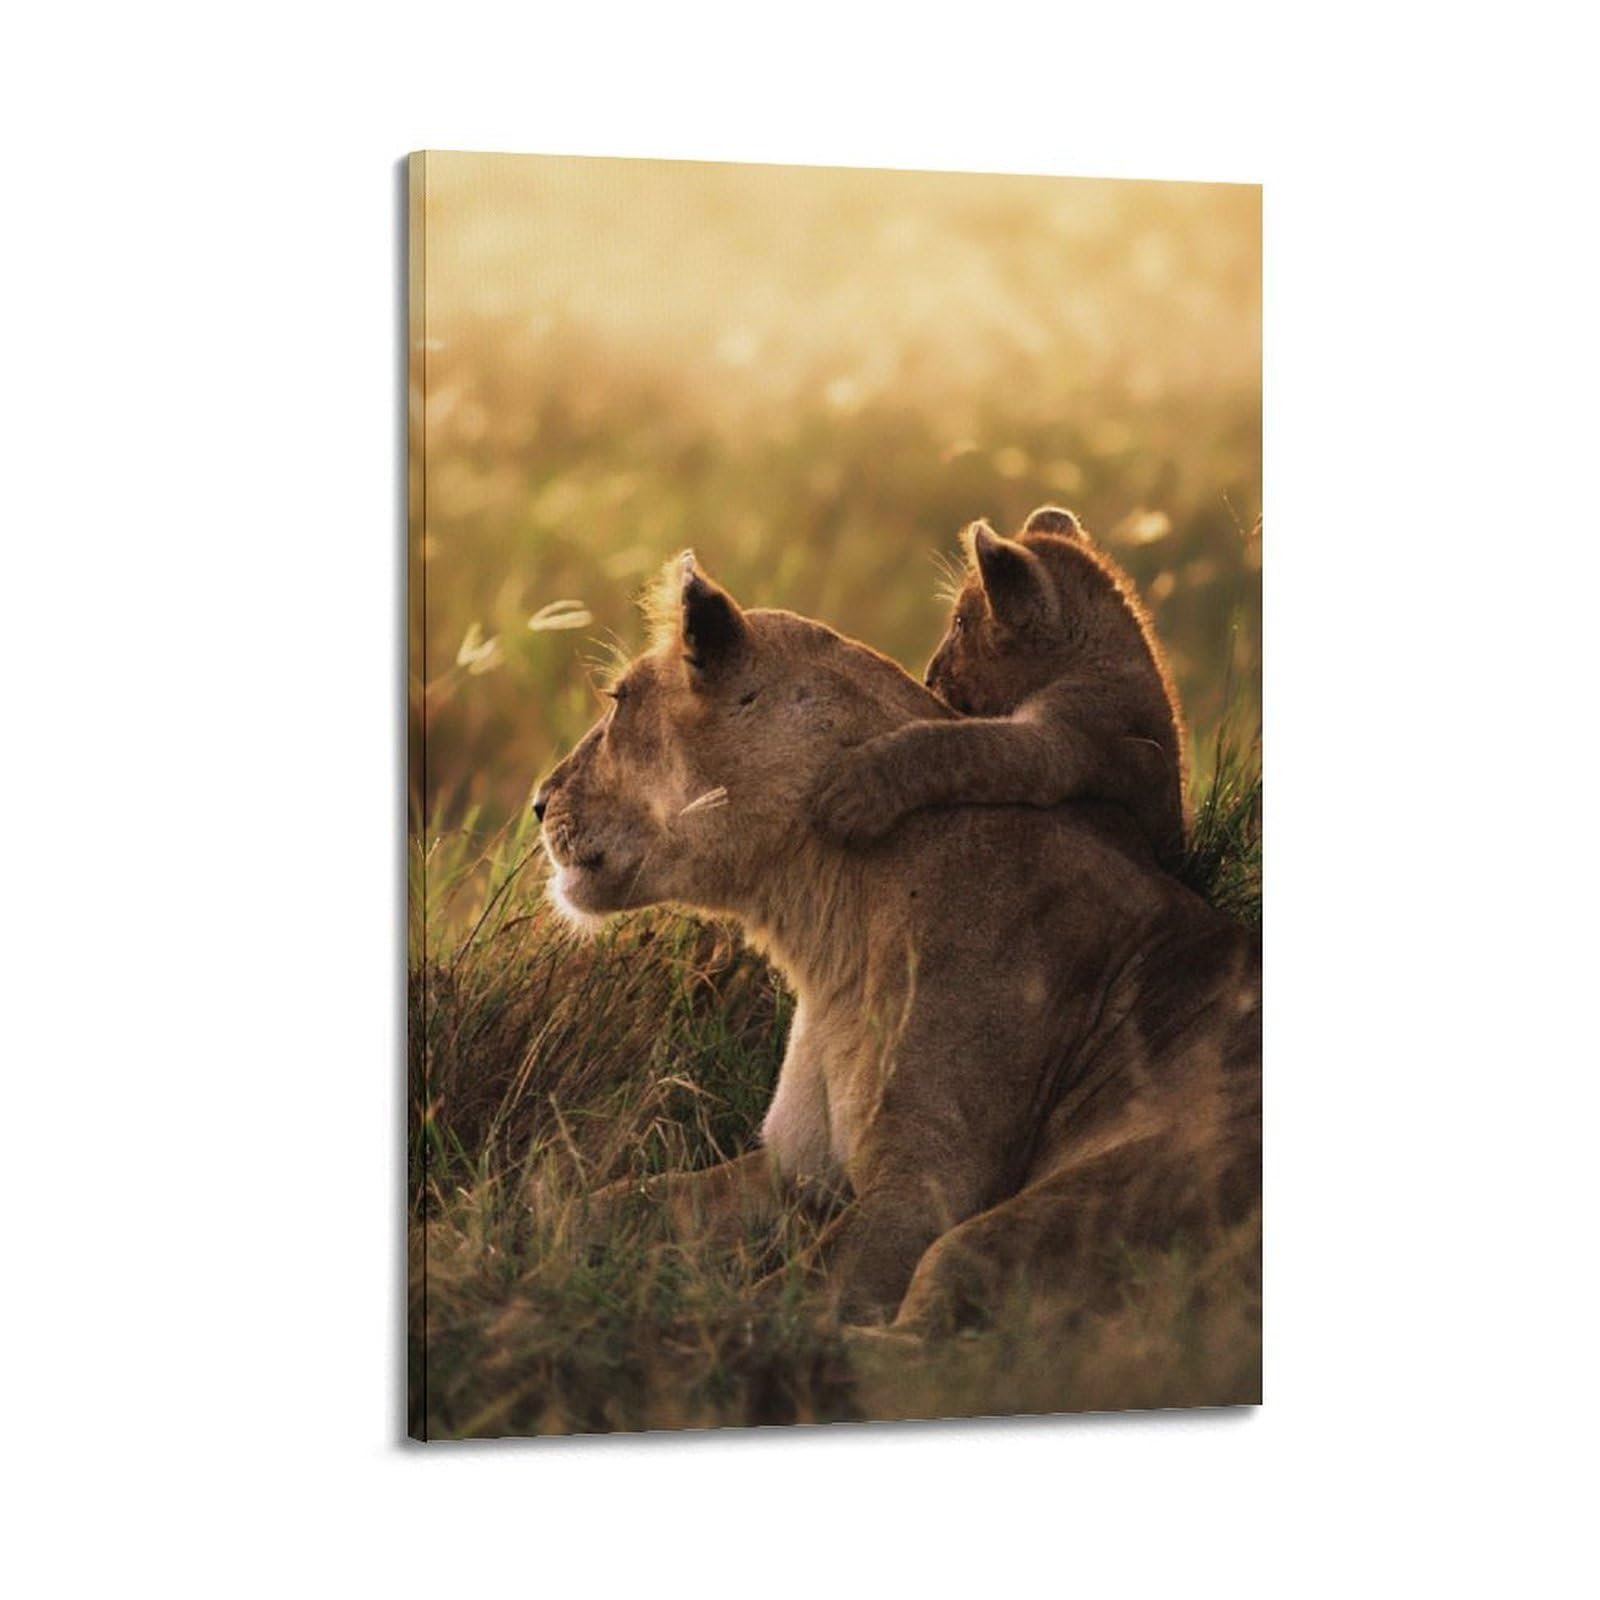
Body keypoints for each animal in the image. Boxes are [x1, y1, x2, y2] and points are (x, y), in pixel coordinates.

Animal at [533, 554, 1259, 1334]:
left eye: (619, 699)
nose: (539, 803)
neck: (824, 928)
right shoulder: (793, 1169)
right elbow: (610, 1203)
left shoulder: (924, 1190)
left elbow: (779, 1304)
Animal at [812, 506, 1187, 867]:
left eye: (960, 623)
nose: (929, 675)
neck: (1092, 657)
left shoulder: (1065, 740)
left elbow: (958, 745)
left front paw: (856, 789)